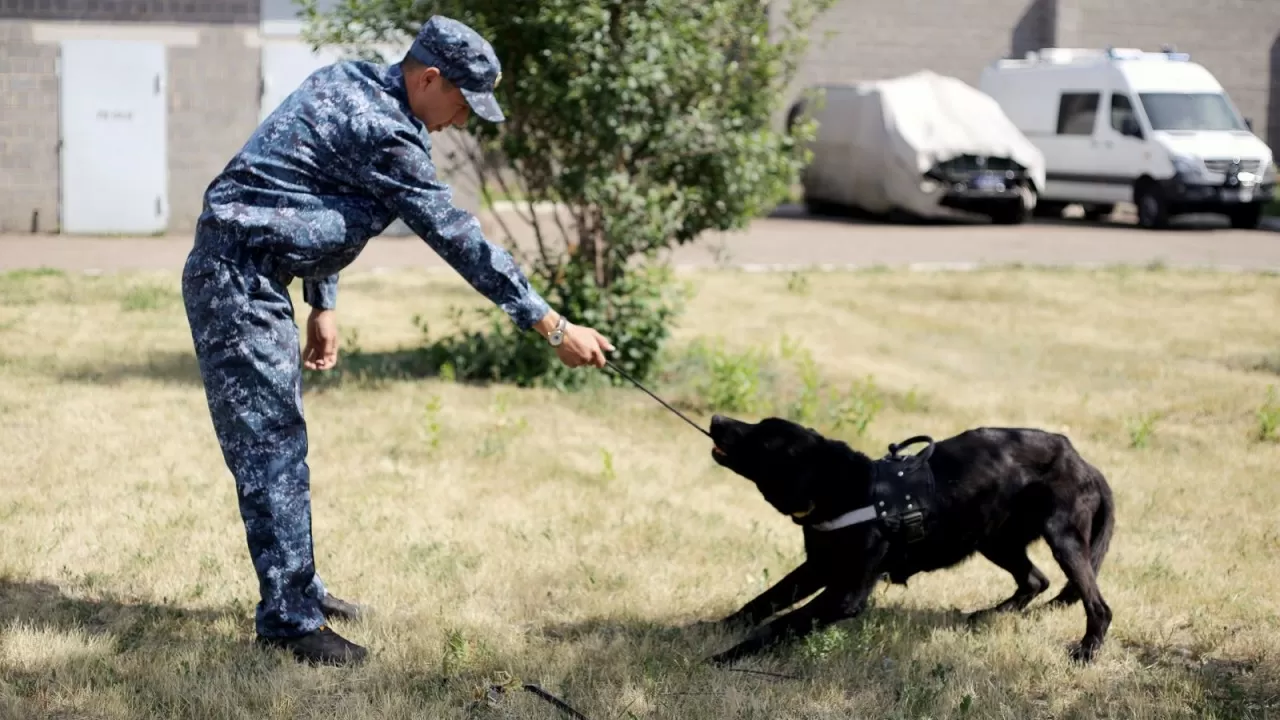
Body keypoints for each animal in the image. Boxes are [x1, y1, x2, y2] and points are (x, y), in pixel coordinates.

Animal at [706, 412, 1116, 666]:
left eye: (762, 437)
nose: (716, 419)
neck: (845, 489)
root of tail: (1085, 464)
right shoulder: (818, 567)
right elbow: (764, 601)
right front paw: (712, 628)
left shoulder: (845, 594)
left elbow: (780, 623)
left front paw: (724, 656)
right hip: (992, 540)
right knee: (1035, 580)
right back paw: (987, 616)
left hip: (1063, 540)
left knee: (1097, 606)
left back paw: (1085, 653)